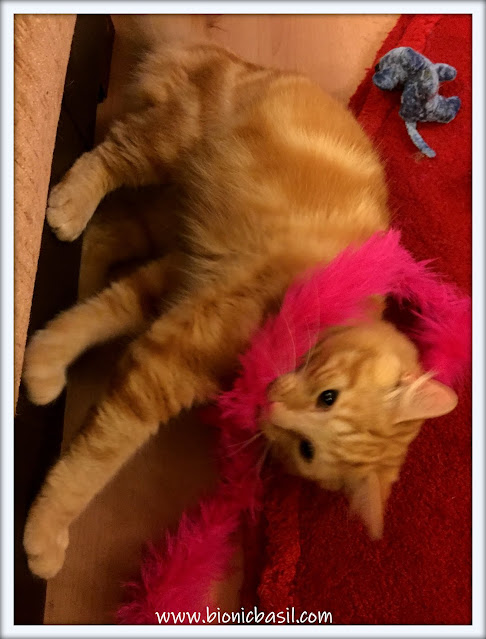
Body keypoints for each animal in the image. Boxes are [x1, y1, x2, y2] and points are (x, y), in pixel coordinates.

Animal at [22, 41, 458, 579]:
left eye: (306, 450)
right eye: (328, 398)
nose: (270, 406)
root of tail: (237, 60)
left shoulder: (177, 283)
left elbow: (92, 318)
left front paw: (43, 363)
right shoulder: (164, 368)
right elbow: (93, 463)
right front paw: (45, 532)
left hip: (166, 223)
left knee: (107, 234)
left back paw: (78, 265)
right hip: (169, 142)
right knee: (109, 155)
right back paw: (68, 206)